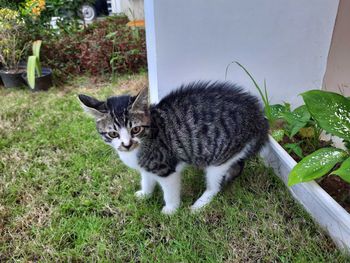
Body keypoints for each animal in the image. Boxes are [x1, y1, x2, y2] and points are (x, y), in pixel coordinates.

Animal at [79, 82, 270, 214]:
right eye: (113, 134)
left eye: (135, 129)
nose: (126, 144)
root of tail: (259, 118)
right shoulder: (147, 167)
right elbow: (147, 179)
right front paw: (145, 194)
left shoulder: (165, 167)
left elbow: (169, 191)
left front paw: (171, 210)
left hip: (219, 156)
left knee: (215, 184)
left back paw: (200, 204)